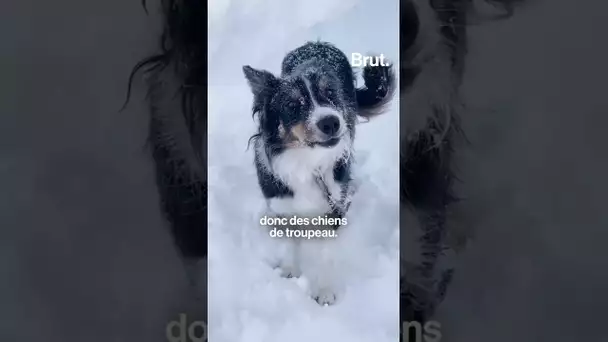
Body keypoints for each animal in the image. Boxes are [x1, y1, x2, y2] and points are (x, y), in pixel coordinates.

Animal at [242, 42, 394, 304]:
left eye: (330, 94)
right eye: (292, 105)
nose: (331, 123)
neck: (306, 161)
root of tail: (317, 43)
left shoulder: (331, 209)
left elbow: (325, 252)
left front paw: (324, 291)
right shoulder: (283, 203)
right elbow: (290, 240)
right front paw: (290, 270)